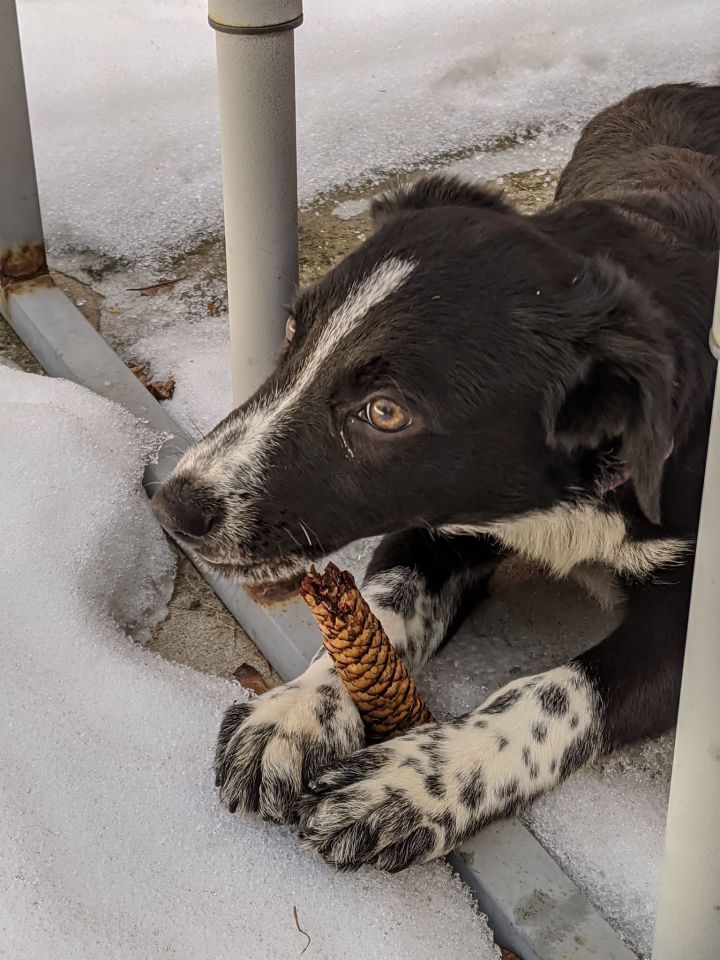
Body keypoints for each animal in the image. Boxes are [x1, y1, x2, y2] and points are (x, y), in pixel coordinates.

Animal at [153, 86, 720, 872]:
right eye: (294, 331)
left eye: (386, 412)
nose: (173, 506)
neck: (561, 502)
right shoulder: (432, 520)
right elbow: (381, 607)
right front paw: (297, 709)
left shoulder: (692, 627)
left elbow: (554, 693)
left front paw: (414, 783)